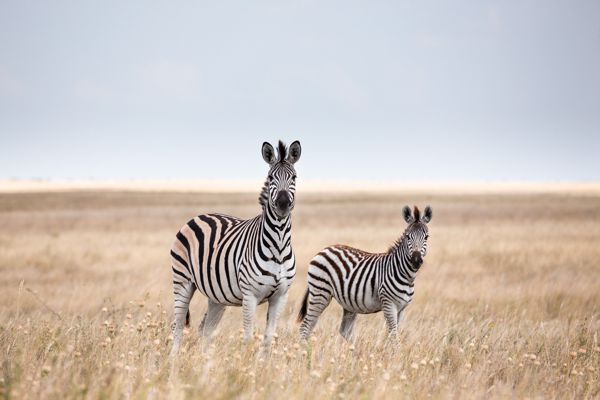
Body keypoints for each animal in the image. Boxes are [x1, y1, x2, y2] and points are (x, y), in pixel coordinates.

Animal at [170, 141, 302, 354]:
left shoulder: (280, 296)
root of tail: (200, 215)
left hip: (216, 296)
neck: (279, 245)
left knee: (205, 329)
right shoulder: (250, 295)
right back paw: (174, 359)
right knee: (178, 324)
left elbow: (268, 338)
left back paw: (204, 360)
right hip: (182, 280)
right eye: (270, 177)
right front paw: (246, 362)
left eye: (294, 177)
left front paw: (263, 363)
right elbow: (248, 337)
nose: (282, 203)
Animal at [296, 206, 432, 340]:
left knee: (343, 331)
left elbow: (393, 334)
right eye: (408, 237)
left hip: (347, 302)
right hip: (320, 293)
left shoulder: (402, 308)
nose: (416, 260)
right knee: (305, 328)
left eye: (426, 237)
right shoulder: (389, 304)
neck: (406, 275)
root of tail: (323, 250)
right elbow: (393, 336)